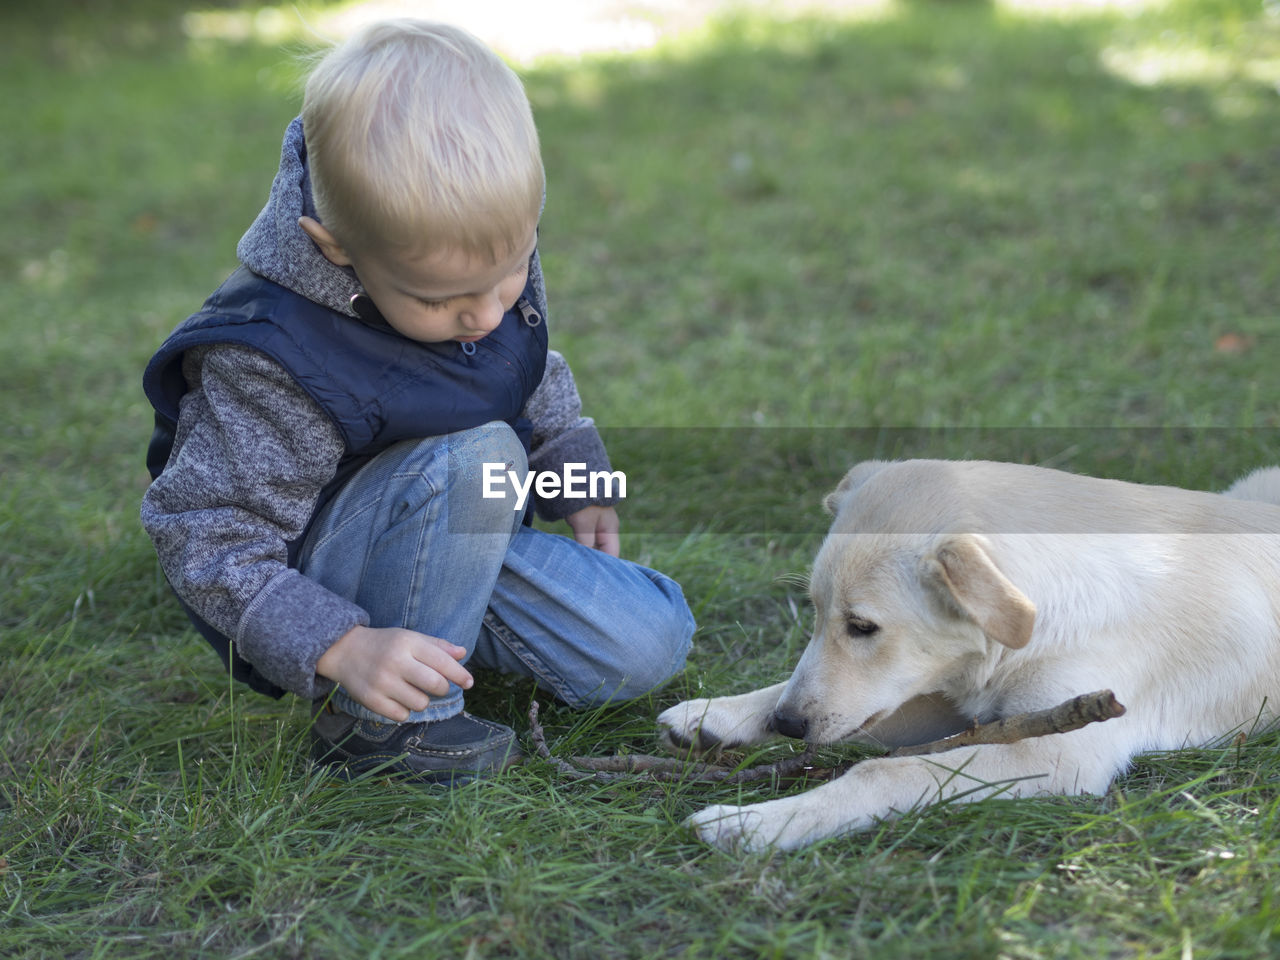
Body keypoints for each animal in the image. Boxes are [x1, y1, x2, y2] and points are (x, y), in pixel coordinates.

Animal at [660, 463, 1280, 855]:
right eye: (813, 611)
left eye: (862, 627)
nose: (787, 725)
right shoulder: (949, 699)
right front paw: (716, 714)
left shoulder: (1056, 751)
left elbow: (885, 771)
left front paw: (754, 824)